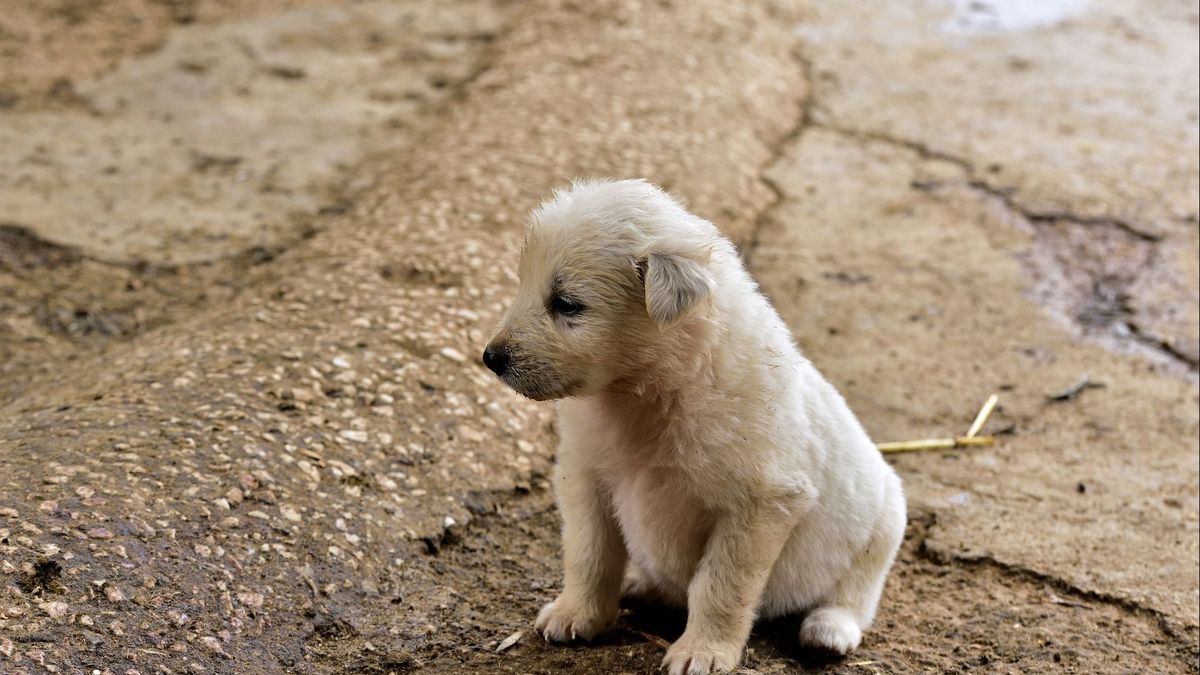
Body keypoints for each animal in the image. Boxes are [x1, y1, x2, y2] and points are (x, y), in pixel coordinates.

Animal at [482, 178, 902, 672]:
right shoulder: (585, 474)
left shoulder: (762, 502)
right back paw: (641, 587)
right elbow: (589, 553)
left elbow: (720, 586)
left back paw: (828, 630)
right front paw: (575, 614)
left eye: (567, 304)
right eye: (523, 284)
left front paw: (703, 651)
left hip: (884, 524)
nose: (491, 358)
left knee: (855, 593)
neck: (650, 390)